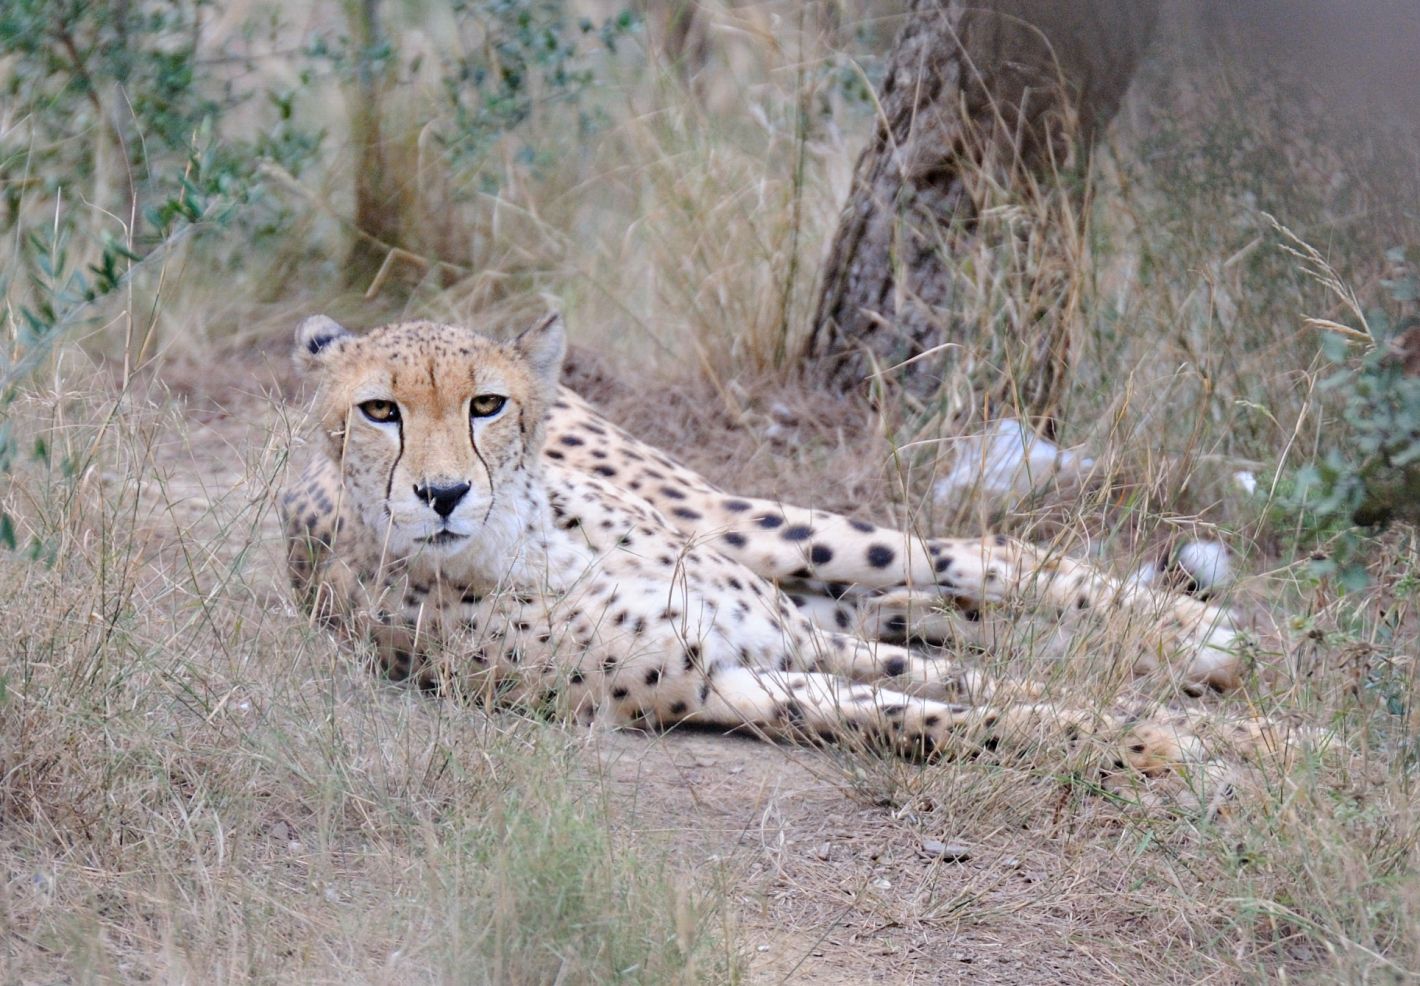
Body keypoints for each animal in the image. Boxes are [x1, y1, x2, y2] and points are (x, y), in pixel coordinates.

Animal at [276, 316, 1266, 778]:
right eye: (379, 410)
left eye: (485, 403)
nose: (443, 494)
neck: (540, 550)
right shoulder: (734, 678)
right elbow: (943, 712)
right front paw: (1167, 752)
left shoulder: (784, 635)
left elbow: (985, 689)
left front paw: (1263, 740)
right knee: (926, 607)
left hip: (735, 519)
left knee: (974, 554)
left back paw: (1204, 638)